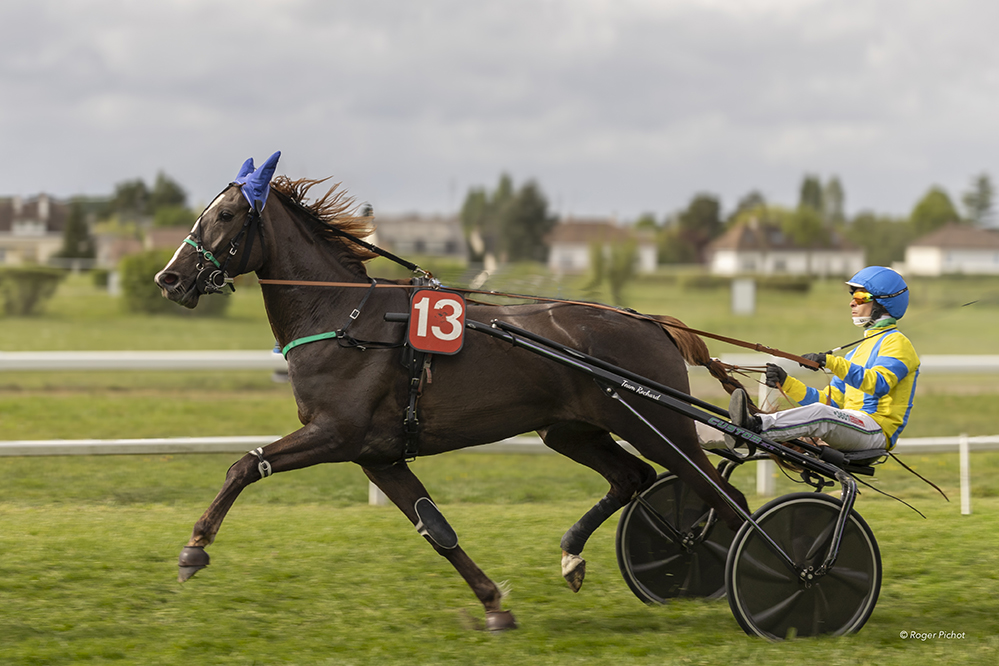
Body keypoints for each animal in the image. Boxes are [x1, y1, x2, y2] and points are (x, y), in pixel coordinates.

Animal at [154, 153, 750, 631]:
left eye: (225, 215)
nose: (169, 279)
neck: (344, 318)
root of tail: (650, 321)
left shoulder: (335, 433)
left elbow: (244, 466)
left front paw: (193, 549)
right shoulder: (378, 456)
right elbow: (437, 530)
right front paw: (494, 606)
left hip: (660, 427)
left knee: (727, 499)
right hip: (571, 430)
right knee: (634, 478)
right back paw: (574, 556)